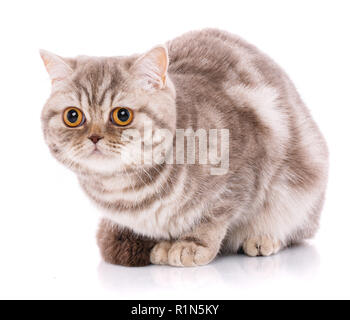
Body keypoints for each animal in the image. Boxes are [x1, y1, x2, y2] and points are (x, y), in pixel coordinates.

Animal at [40, 28, 328, 266]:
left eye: (122, 115)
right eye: (73, 116)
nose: (94, 137)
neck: (125, 191)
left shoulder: (240, 176)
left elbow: (213, 217)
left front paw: (193, 245)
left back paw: (264, 237)